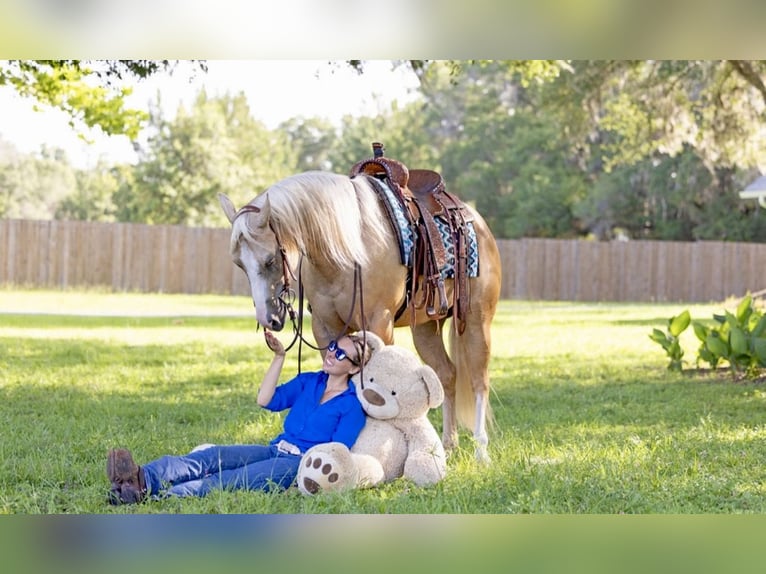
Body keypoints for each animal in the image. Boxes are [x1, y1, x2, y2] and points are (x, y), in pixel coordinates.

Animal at [218, 170, 501, 462]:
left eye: (270, 260)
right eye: (239, 264)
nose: (268, 319)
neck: (346, 249)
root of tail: (474, 218)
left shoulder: (379, 323)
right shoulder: (326, 329)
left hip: (477, 322)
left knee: (479, 381)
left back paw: (481, 451)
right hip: (426, 328)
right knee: (447, 375)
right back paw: (447, 446)